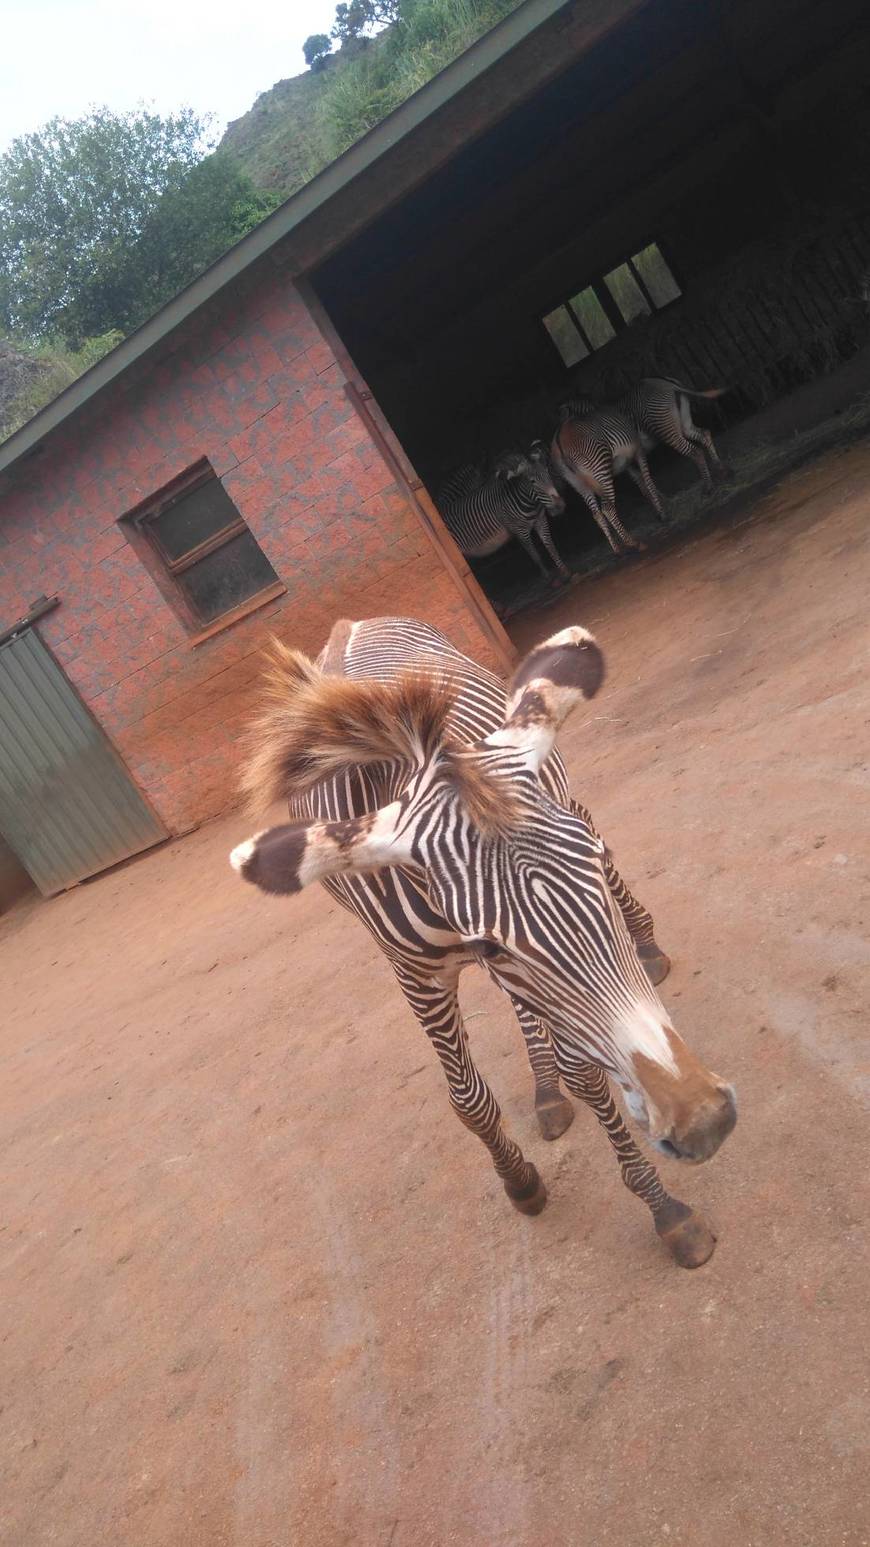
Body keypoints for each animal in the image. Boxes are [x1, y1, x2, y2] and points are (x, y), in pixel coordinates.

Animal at [229, 609, 730, 1262]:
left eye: (593, 871)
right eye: (489, 942)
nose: (706, 1121)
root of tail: (353, 621)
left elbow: (589, 1072)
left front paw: (663, 1208)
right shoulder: (419, 977)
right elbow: (468, 1102)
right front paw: (520, 1181)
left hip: (560, 793)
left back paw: (645, 947)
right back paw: (545, 1092)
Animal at [433, 454, 569, 587]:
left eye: (548, 473)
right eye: (532, 481)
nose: (560, 506)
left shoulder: (540, 521)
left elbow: (551, 547)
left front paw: (564, 571)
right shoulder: (519, 531)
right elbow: (535, 555)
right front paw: (547, 576)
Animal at [548, 399, 662, 556]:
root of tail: (559, 437)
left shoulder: (626, 465)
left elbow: (641, 483)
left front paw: (657, 505)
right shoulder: (638, 451)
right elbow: (647, 480)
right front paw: (661, 512)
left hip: (579, 483)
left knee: (597, 514)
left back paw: (617, 549)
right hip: (600, 467)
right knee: (607, 508)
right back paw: (633, 542)